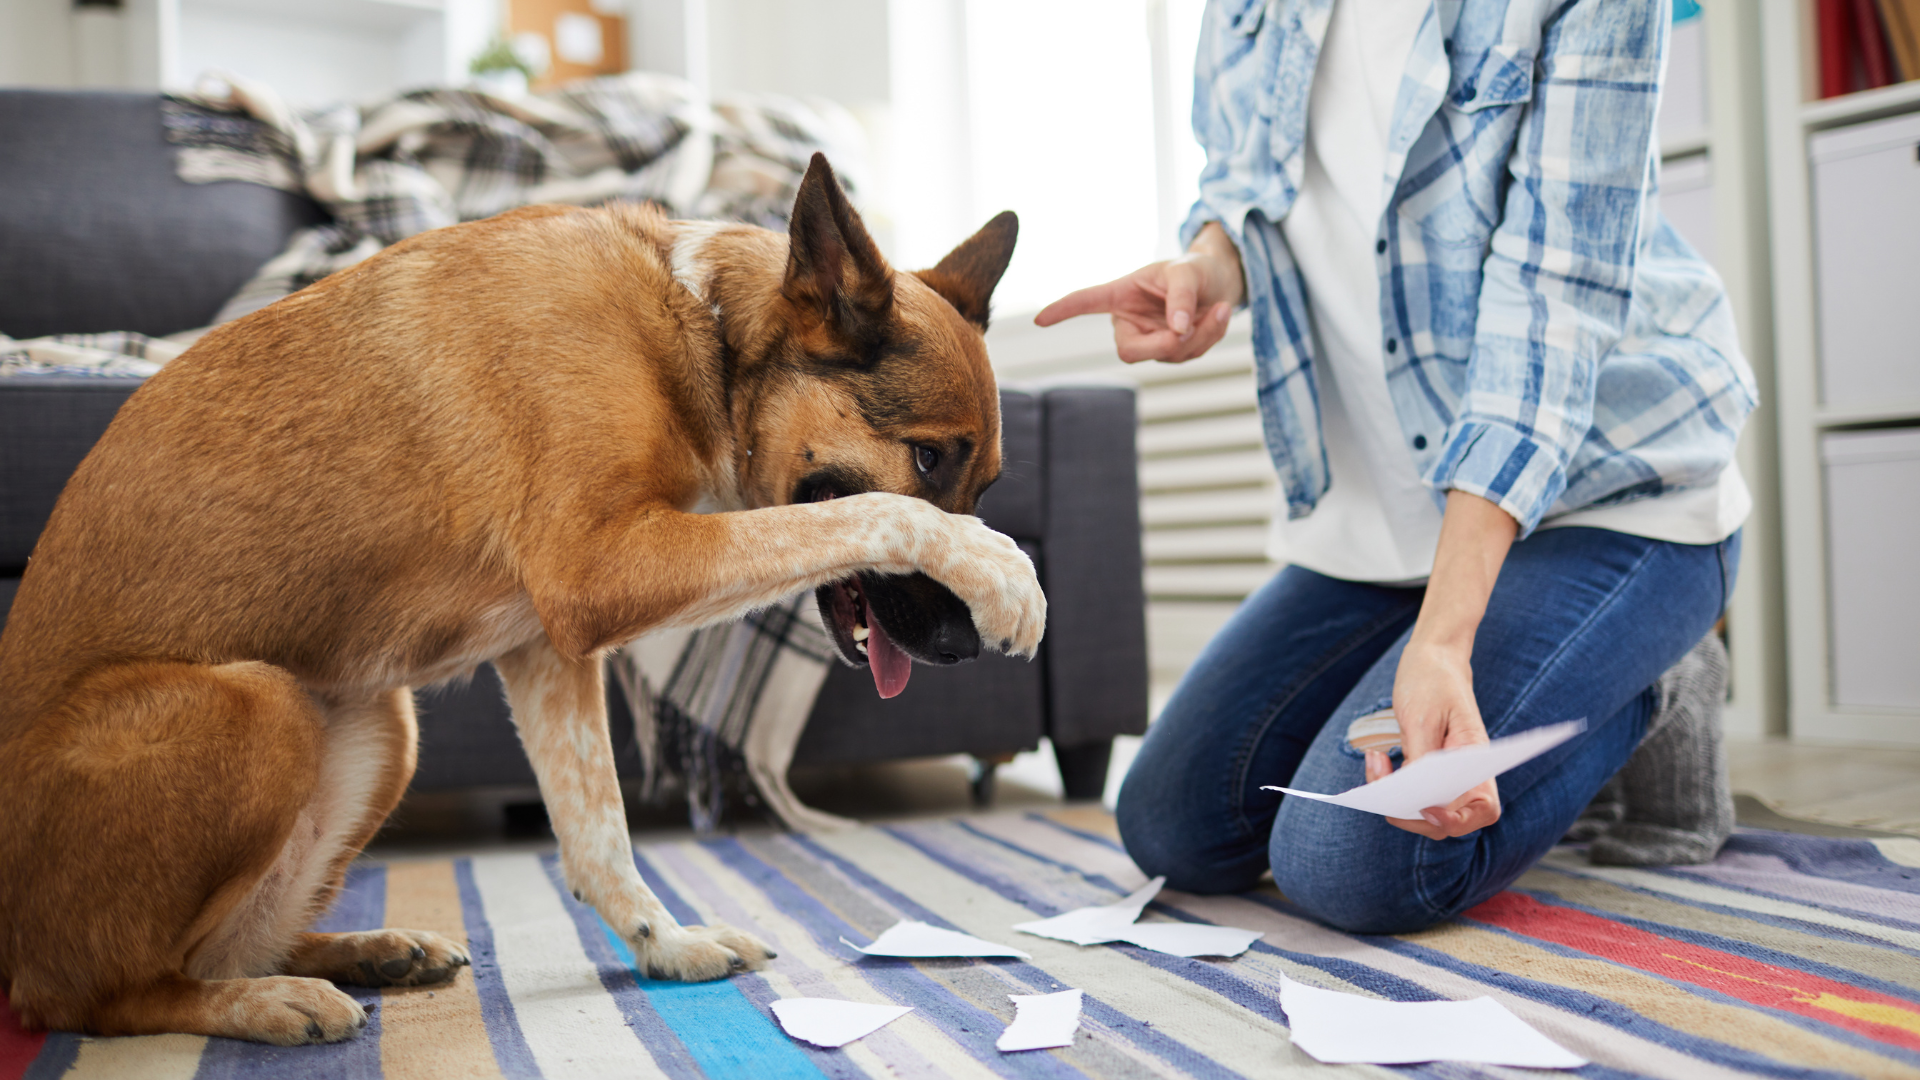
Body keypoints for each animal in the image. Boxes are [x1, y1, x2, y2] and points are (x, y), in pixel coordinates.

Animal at [0, 155, 1044, 1037]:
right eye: (927, 458)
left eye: (988, 481)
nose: (959, 648)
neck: (700, 326)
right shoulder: (601, 571)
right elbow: (869, 512)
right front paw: (1002, 572)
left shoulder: (548, 648)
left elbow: (596, 830)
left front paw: (666, 946)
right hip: (259, 705)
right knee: (107, 992)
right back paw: (263, 1003)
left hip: (383, 724)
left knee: (222, 946)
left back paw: (366, 953)